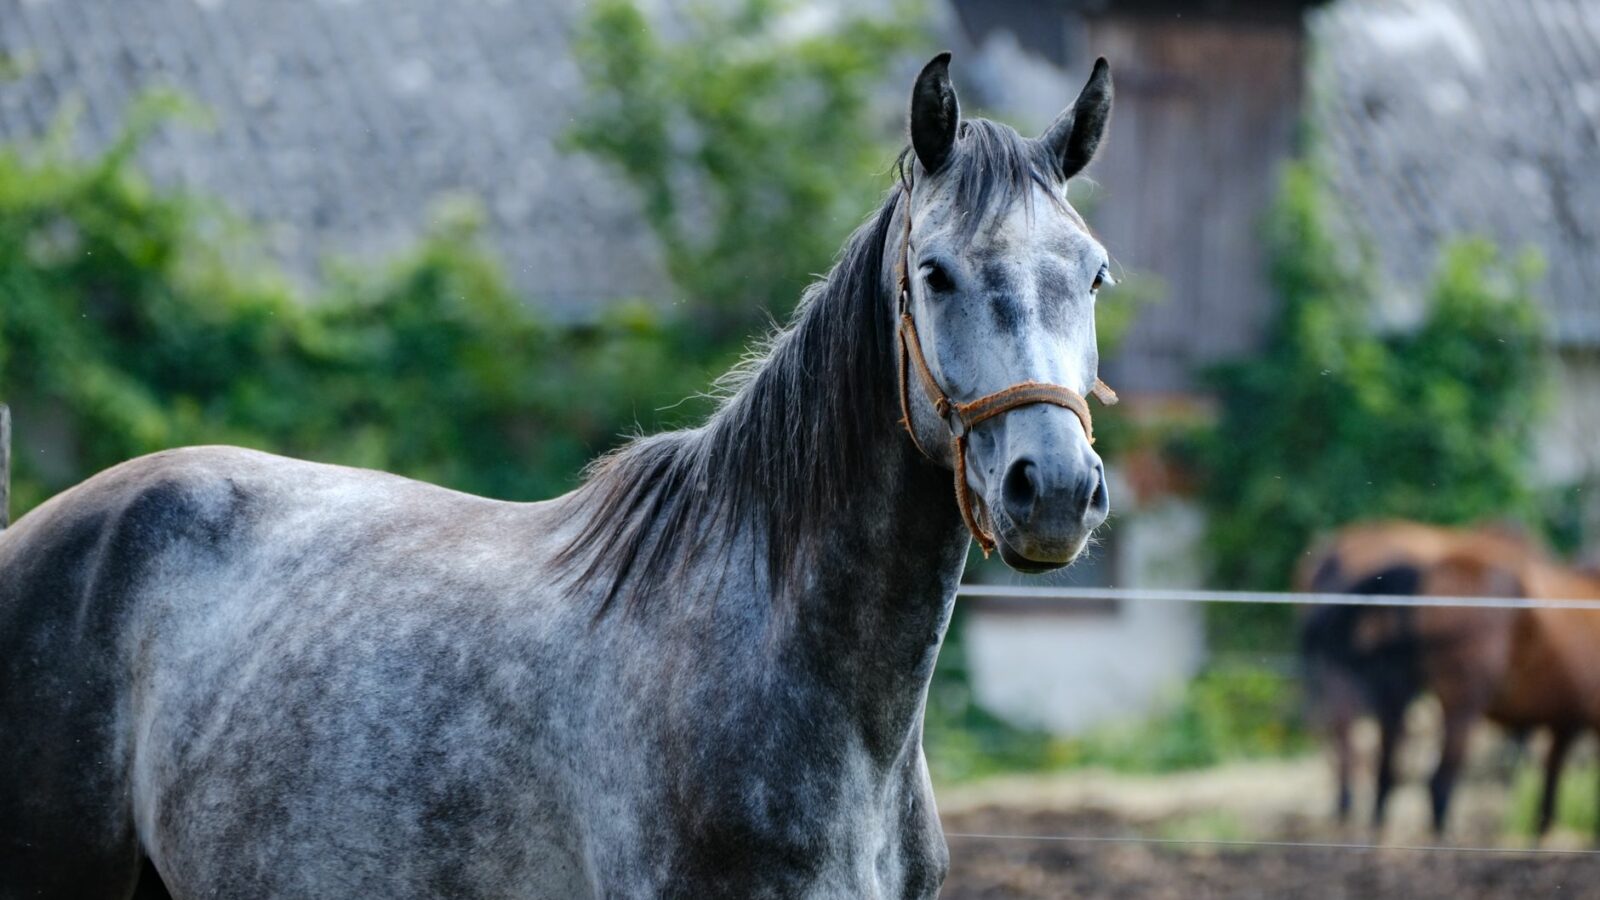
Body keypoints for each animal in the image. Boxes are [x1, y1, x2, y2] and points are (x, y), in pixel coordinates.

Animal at [1300, 521, 1600, 838]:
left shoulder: (1565, 722)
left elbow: (1548, 794)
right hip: (1459, 705)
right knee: (1437, 783)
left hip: (1392, 690)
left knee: (1382, 769)